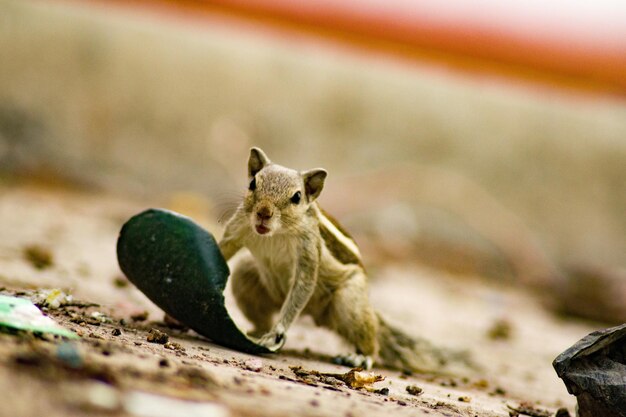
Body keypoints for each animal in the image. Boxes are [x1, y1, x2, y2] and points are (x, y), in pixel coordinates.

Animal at [219, 148, 444, 368]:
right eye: (252, 184)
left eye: (296, 197)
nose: (263, 213)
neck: (276, 233)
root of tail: (312, 314)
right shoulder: (239, 226)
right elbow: (225, 247)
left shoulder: (308, 249)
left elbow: (304, 285)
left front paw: (278, 332)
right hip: (247, 277)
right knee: (260, 314)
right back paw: (256, 332)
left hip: (350, 301)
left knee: (371, 340)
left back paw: (360, 357)